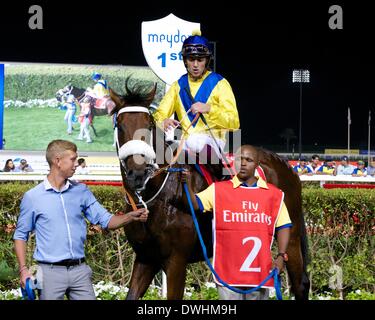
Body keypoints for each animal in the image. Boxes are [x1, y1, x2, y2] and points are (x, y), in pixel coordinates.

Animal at [111, 80, 312, 300]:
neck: (156, 197)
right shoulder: (146, 257)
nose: (137, 173)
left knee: (300, 283)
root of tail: (287, 165)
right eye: (120, 125)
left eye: (148, 125)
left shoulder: (176, 260)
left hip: (291, 236)